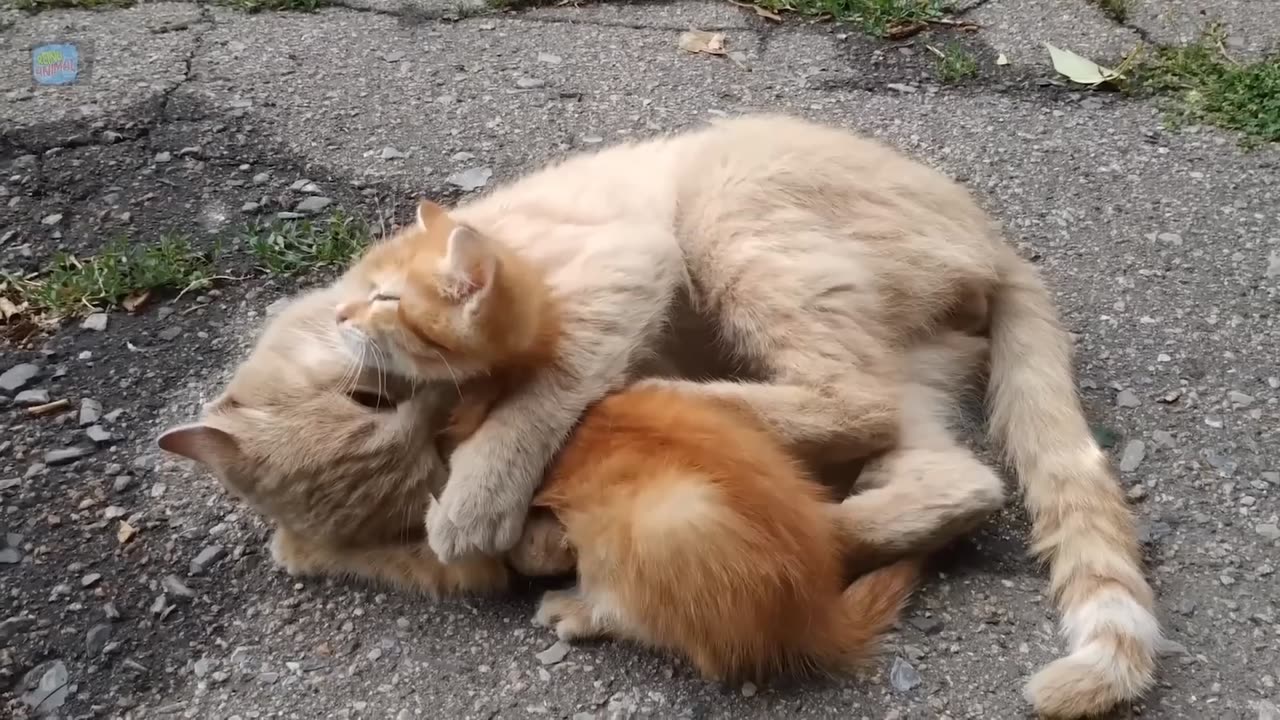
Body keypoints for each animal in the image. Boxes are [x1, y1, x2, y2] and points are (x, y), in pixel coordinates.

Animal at [335, 197, 921, 676]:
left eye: (385, 299)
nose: (339, 314)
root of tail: (816, 613)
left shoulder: (552, 526)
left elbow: (527, 547)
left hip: (667, 527)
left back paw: (575, 609)